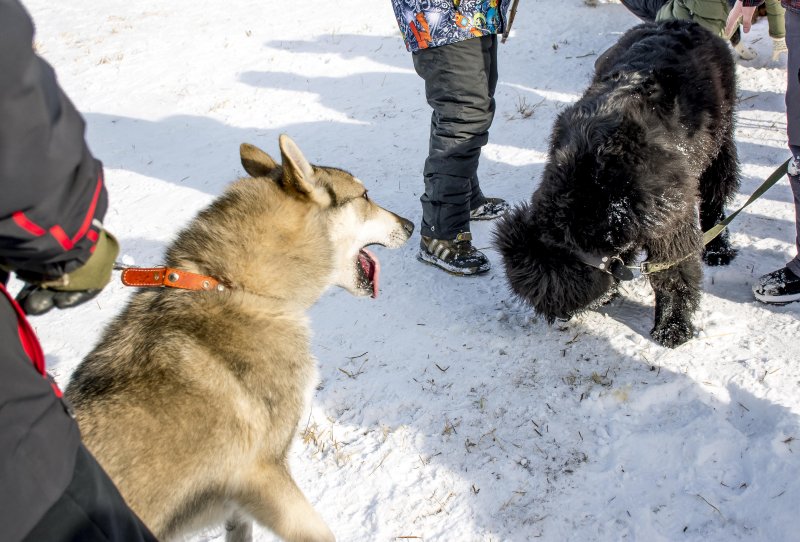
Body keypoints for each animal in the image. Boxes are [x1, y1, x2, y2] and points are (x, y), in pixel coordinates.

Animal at [490, 21, 740, 348]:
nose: (559, 318)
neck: (596, 188)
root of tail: (686, 23)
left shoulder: (670, 220)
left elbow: (672, 274)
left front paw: (672, 326)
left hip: (719, 143)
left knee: (716, 193)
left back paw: (718, 248)